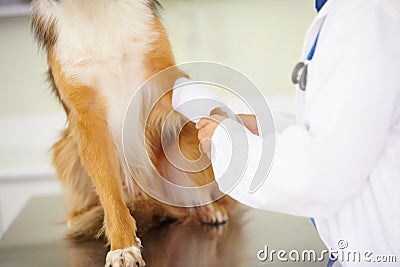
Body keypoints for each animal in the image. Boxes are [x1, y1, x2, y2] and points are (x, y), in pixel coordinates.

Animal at [32, 1, 236, 266]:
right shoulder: (87, 117)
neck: (95, 9)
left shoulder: (161, 77)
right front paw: (123, 246)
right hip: (66, 147)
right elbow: (109, 194)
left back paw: (208, 209)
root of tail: (148, 199)